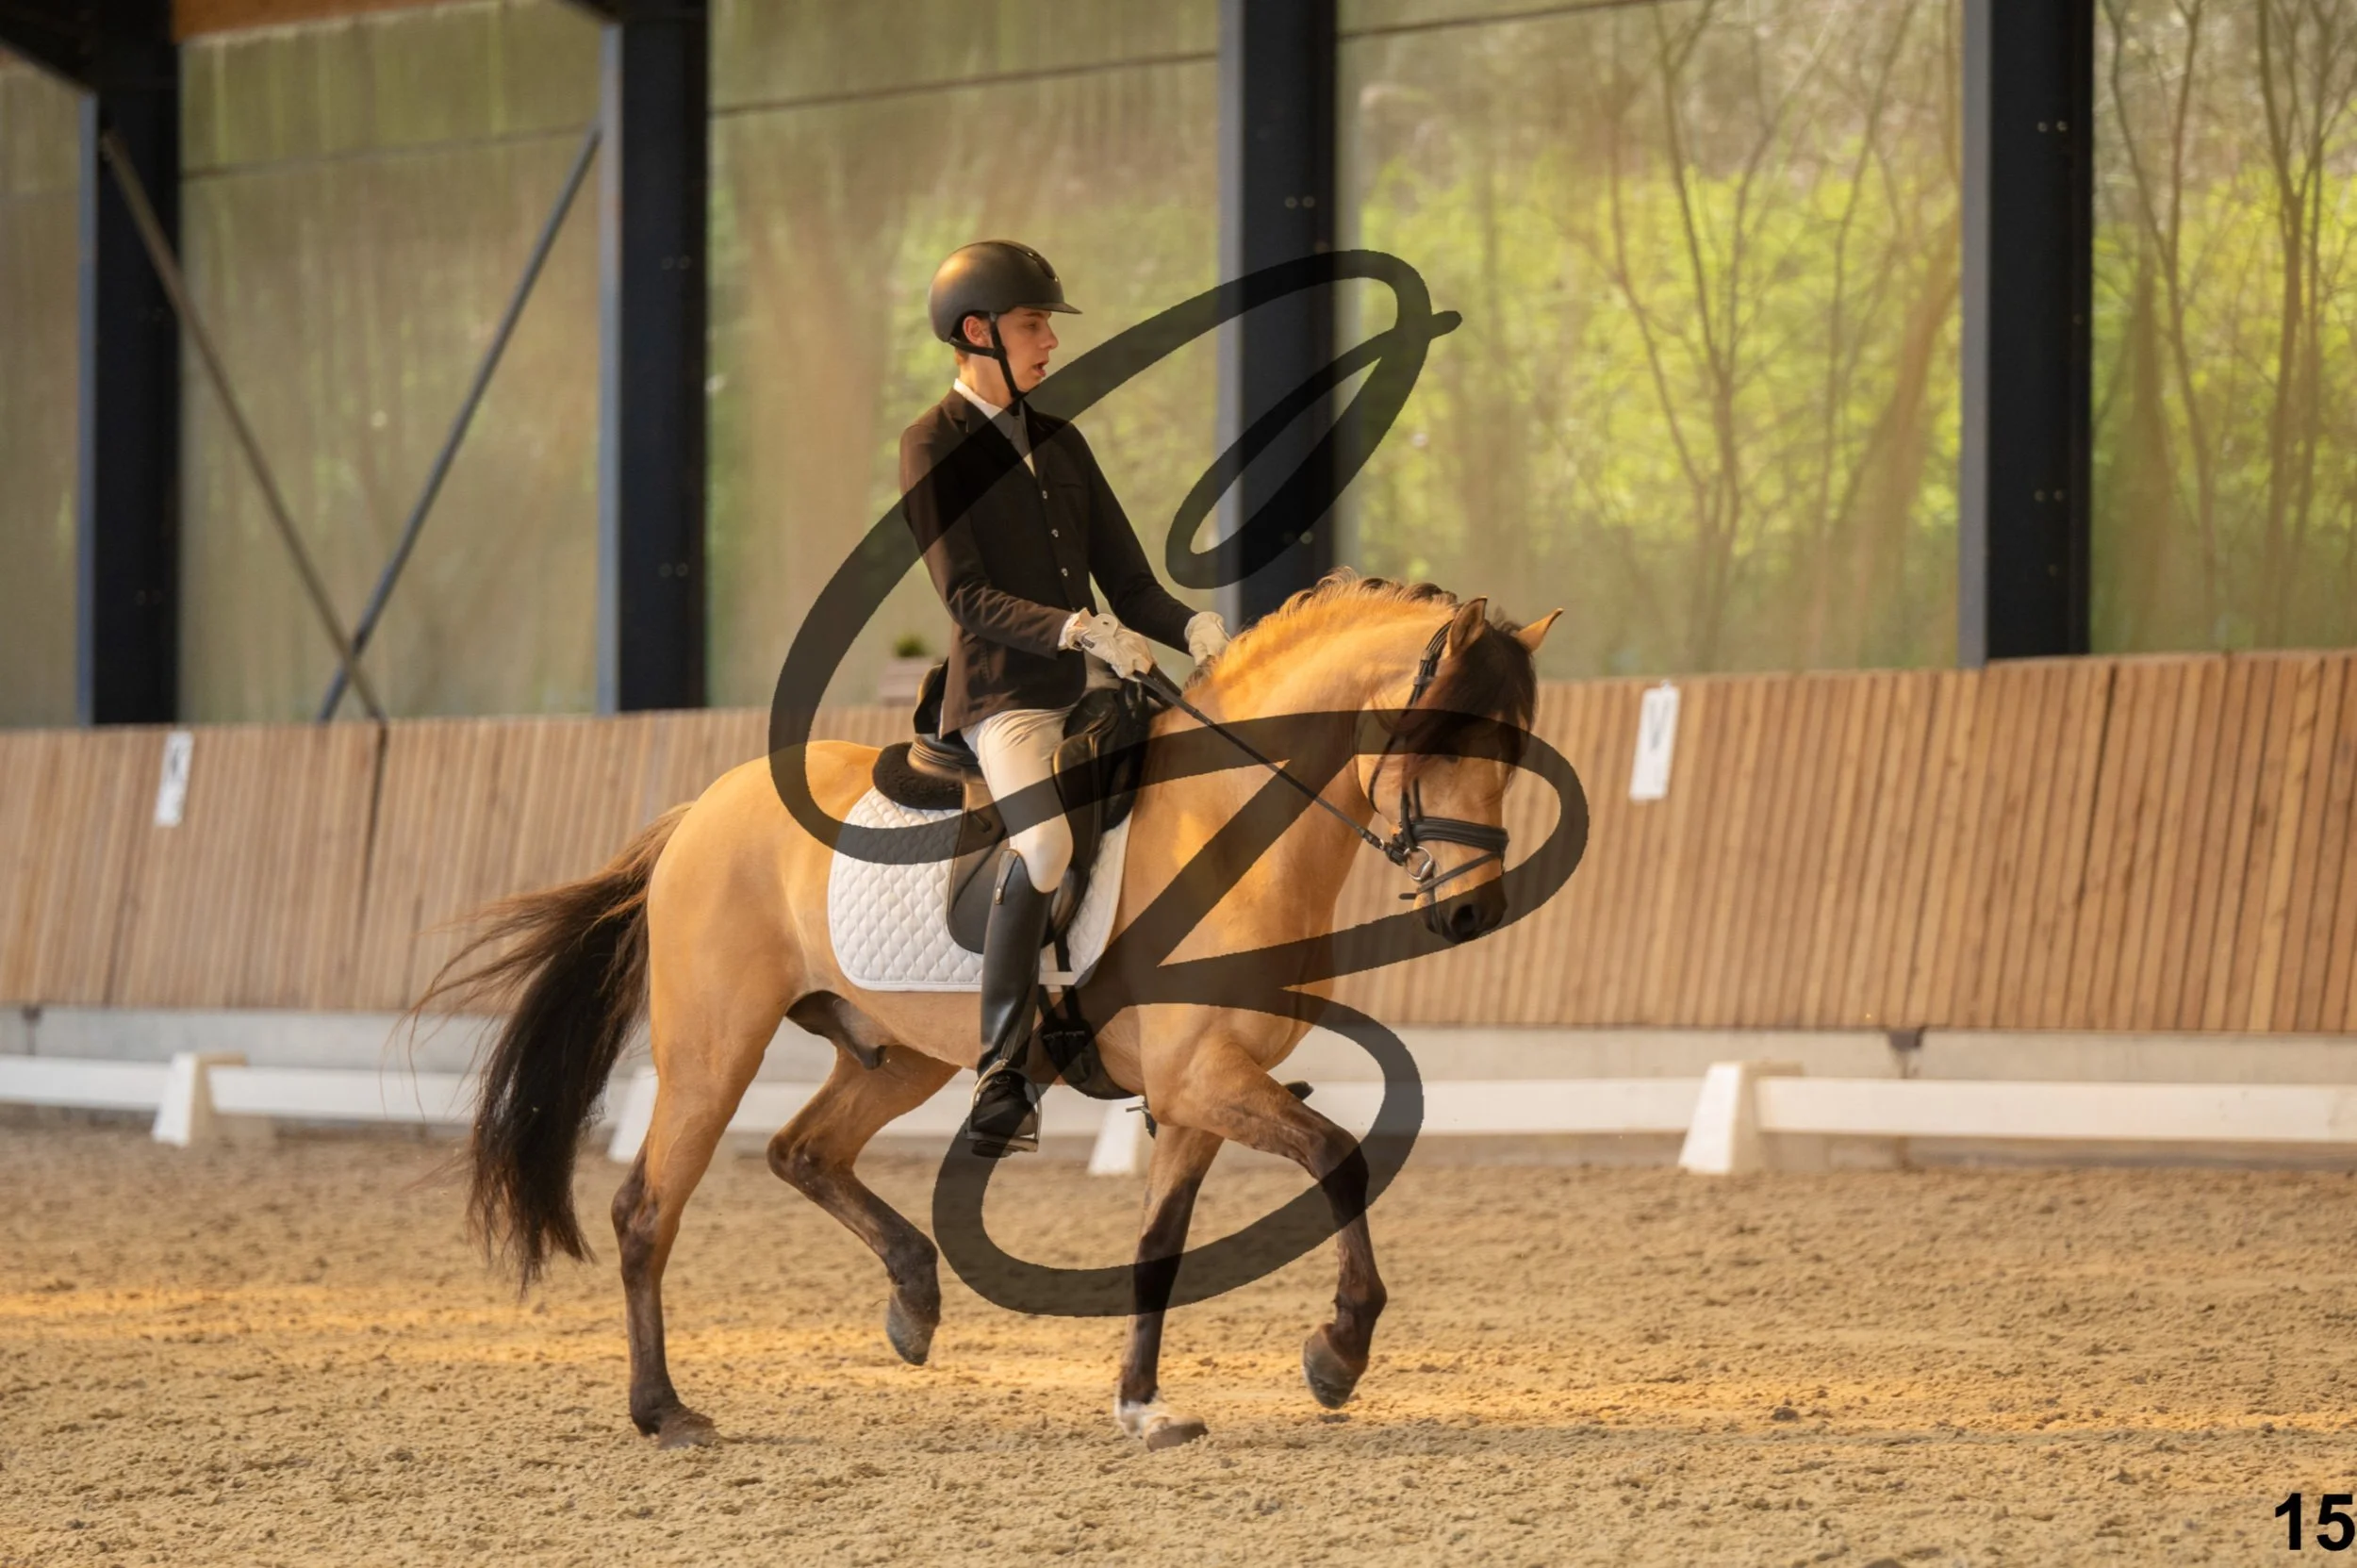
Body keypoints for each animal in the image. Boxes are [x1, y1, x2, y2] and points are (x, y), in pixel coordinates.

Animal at [431, 573, 1560, 1451]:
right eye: (1443, 739)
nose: (1473, 910)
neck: (1226, 830)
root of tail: (699, 810)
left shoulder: (1194, 1091)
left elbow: (1159, 1245)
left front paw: (1141, 1404)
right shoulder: (1205, 1076)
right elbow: (1341, 1157)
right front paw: (1338, 1350)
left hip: (898, 1055)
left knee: (803, 1150)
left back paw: (913, 1301)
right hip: (715, 1049)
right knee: (647, 1209)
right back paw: (665, 1411)